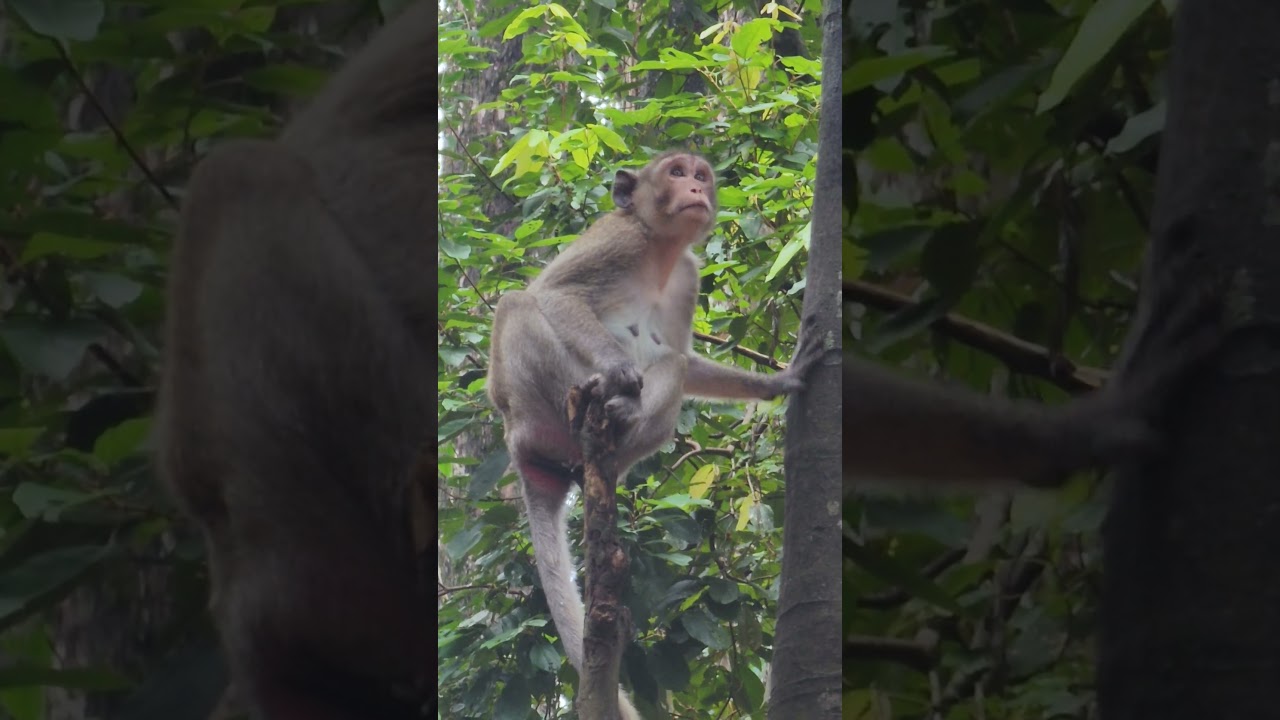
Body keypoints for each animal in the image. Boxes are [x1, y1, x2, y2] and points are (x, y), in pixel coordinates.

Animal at [486, 150, 824, 719]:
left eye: (701, 175)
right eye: (676, 172)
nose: (695, 188)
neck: (659, 252)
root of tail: (522, 451)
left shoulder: (688, 274)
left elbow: (682, 355)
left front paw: (777, 382)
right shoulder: (618, 238)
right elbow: (553, 294)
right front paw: (620, 369)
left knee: (671, 366)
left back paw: (621, 424)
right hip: (536, 404)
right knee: (518, 306)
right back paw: (605, 395)